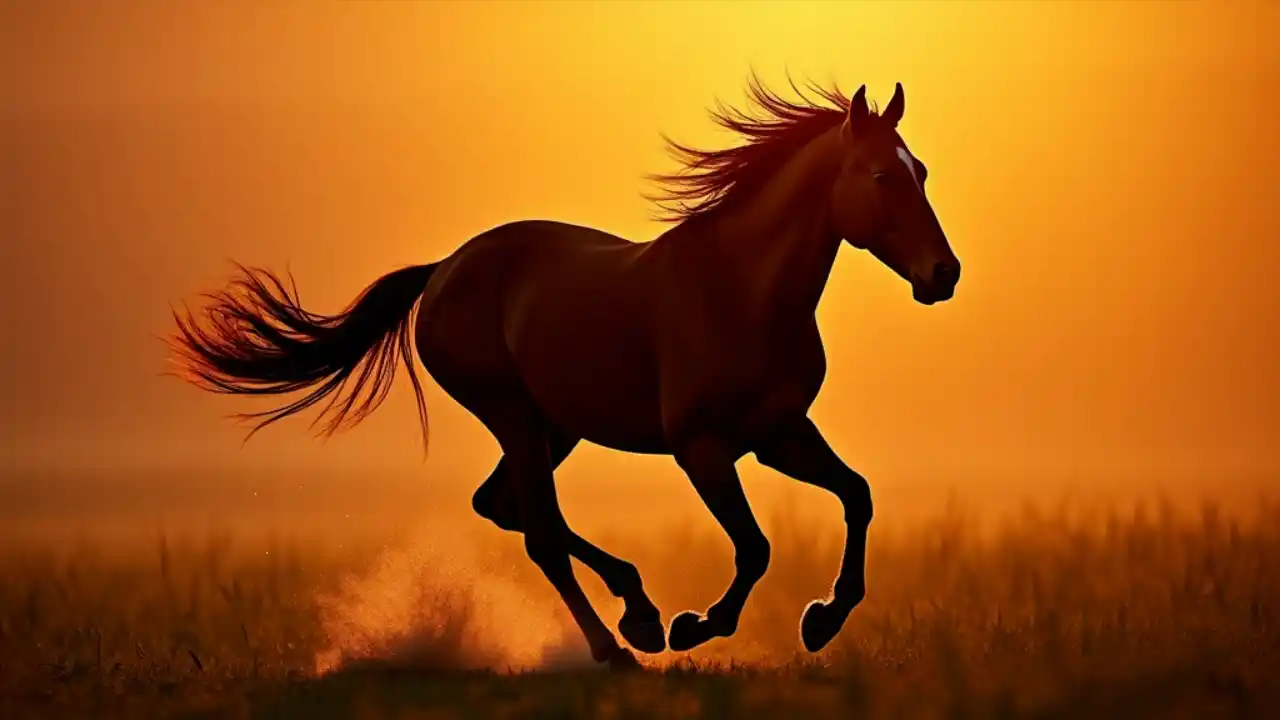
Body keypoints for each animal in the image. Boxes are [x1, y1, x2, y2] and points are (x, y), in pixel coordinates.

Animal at [167, 76, 960, 670]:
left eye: (921, 171)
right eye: (882, 175)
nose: (943, 274)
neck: (743, 290)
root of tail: (444, 269)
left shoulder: (780, 436)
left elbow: (857, 496)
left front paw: (821, 619)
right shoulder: (702, 448)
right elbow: (756, 547)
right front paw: (697, 625)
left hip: (557, 427)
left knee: (505, 508)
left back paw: (637, 611)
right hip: (513, 414)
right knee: (539, 530)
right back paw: (621, 644)